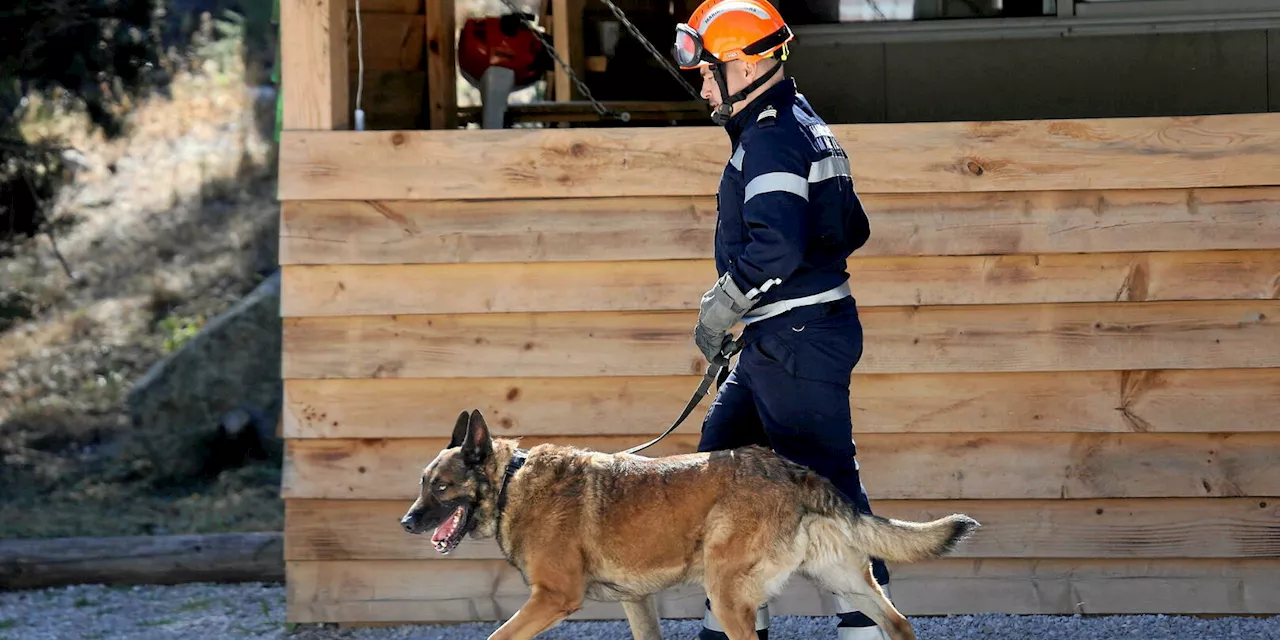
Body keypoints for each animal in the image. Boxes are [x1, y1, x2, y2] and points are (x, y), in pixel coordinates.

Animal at [399, 409, 977, 640]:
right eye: (422, 482)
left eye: (441, 487)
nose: (406, 522)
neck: (511, 482)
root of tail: (793, 470)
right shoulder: (638, 604)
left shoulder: (552, 599)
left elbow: (497, 635)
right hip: (843, 581)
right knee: (897, 624)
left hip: (726, 591)